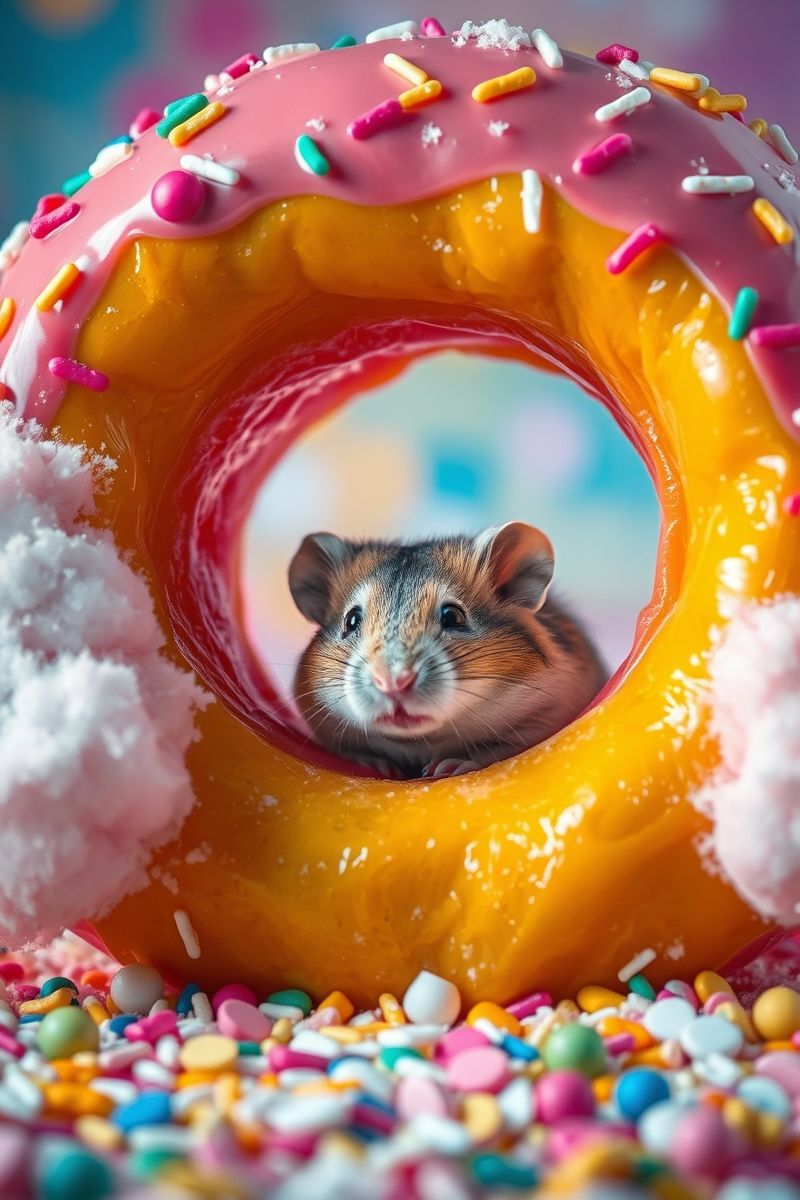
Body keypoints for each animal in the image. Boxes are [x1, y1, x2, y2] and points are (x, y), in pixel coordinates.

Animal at [288, 522, 607, 779]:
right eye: (351, 620)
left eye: (453, 616)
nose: (392, 682)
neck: (420, 742)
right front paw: (377, 766)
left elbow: (498, 748)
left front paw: (445, 767)